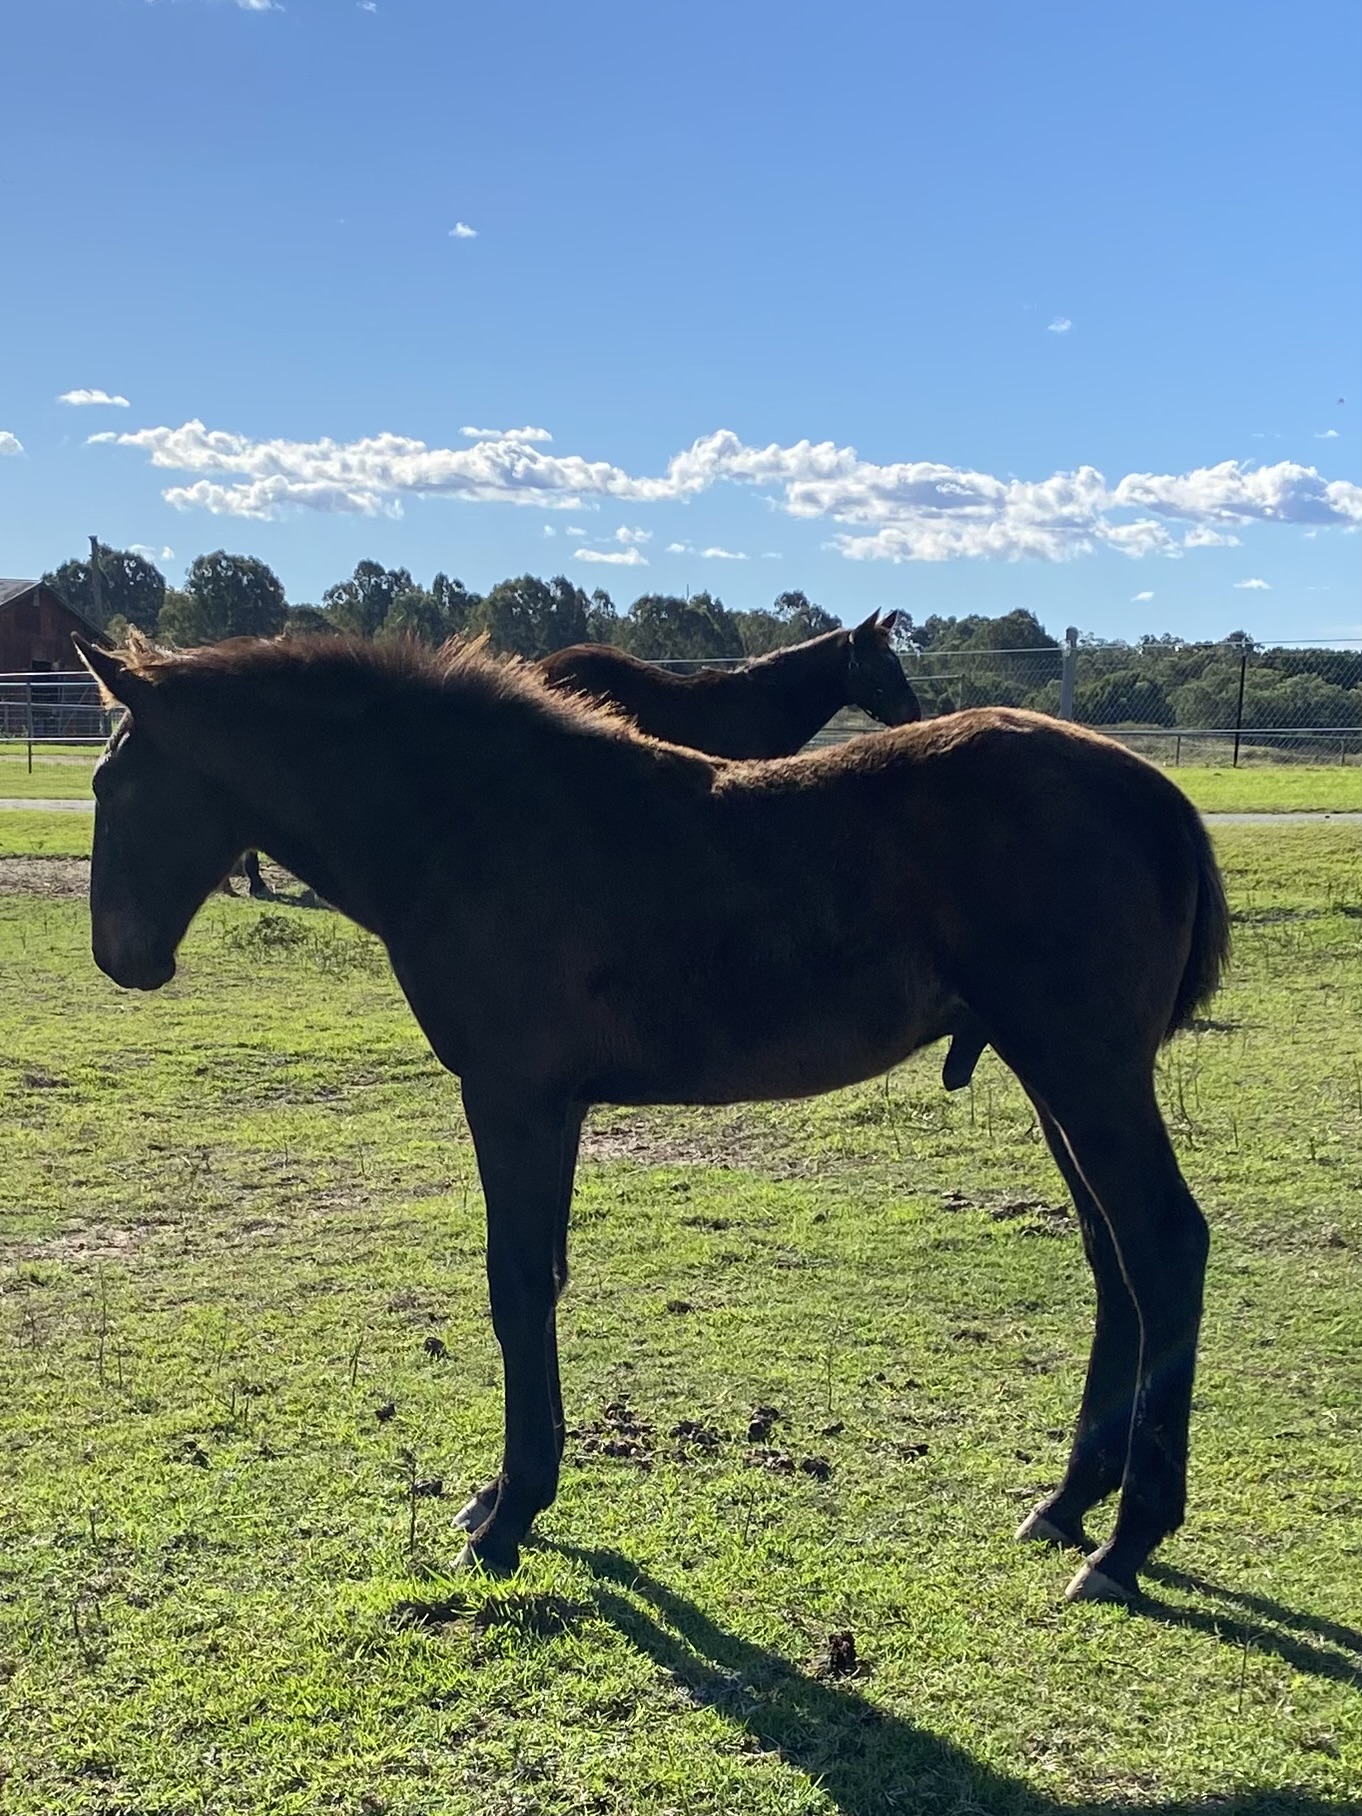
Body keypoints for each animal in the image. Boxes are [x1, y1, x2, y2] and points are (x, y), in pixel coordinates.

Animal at [74, 631, 1229, 1606]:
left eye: (111, 781)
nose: (120, 958)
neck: (475, 820)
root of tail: (1160, 798)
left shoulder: (510, 1096)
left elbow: (512, 1288)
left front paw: (508, 1516)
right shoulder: (554, 1105)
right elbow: (543, 1280)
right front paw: (509, 1494)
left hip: (1085, 1072)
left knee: (1163, 1244)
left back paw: (1126, 1543)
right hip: (1055, 1077)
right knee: (1112, 1256)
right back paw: (1068, 1502)